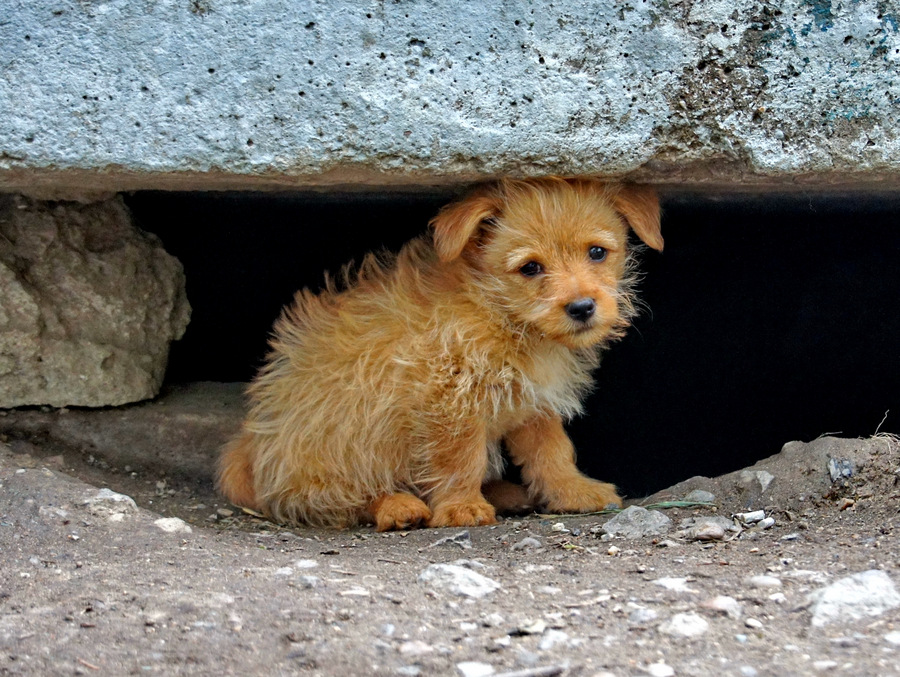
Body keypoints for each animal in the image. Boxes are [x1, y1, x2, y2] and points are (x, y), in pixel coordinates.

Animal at [218, 177, 660, 532]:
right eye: (530, 268)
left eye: (597, 253)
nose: (582, 307)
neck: (499, 313)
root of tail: (251, 448)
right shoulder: (449, 400)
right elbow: (459, 460)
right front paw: (461, 506)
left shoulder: (532, 403)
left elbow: (551, 452)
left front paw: (572, 491)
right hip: (343, 439)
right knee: (337, 497)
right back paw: (396, 506)